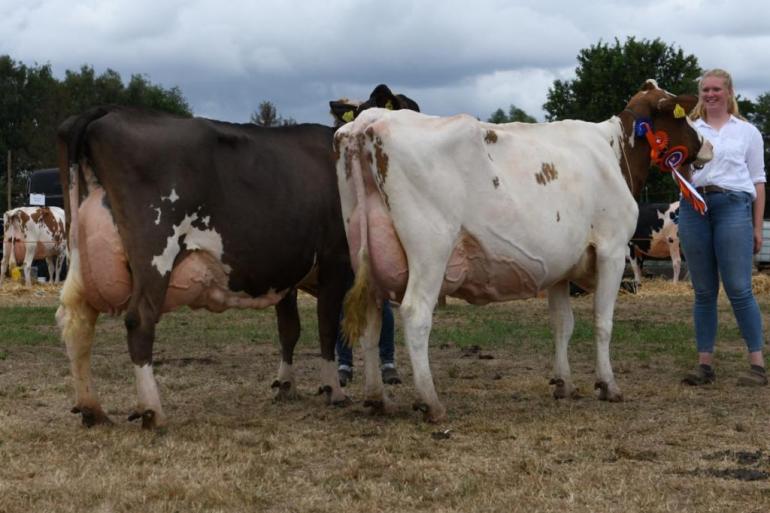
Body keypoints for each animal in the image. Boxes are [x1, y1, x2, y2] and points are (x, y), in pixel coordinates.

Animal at [56, 84, 416, 428]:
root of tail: (107, 110)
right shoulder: (334, 263)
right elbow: (328, 328)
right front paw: (334, 390)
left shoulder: (286, 270)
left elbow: (289, 329)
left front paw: (285, 385)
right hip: (155, 253)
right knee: (139, 319)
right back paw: (152, 411)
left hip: (80, 254)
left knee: (78, 323)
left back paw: (92, 409)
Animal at [338, 77, 712, 420]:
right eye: (684, 118)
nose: (708, 145)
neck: (614, 151)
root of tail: (367, 122)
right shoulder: (612, 248)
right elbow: (603, 322)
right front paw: (608, 385)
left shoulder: (562, 266)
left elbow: (563, 324)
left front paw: (564, 383)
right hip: (430, 250)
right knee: (416, 315)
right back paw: (431, 401)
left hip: (364, 255)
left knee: (370, 320)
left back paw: (377, 398)